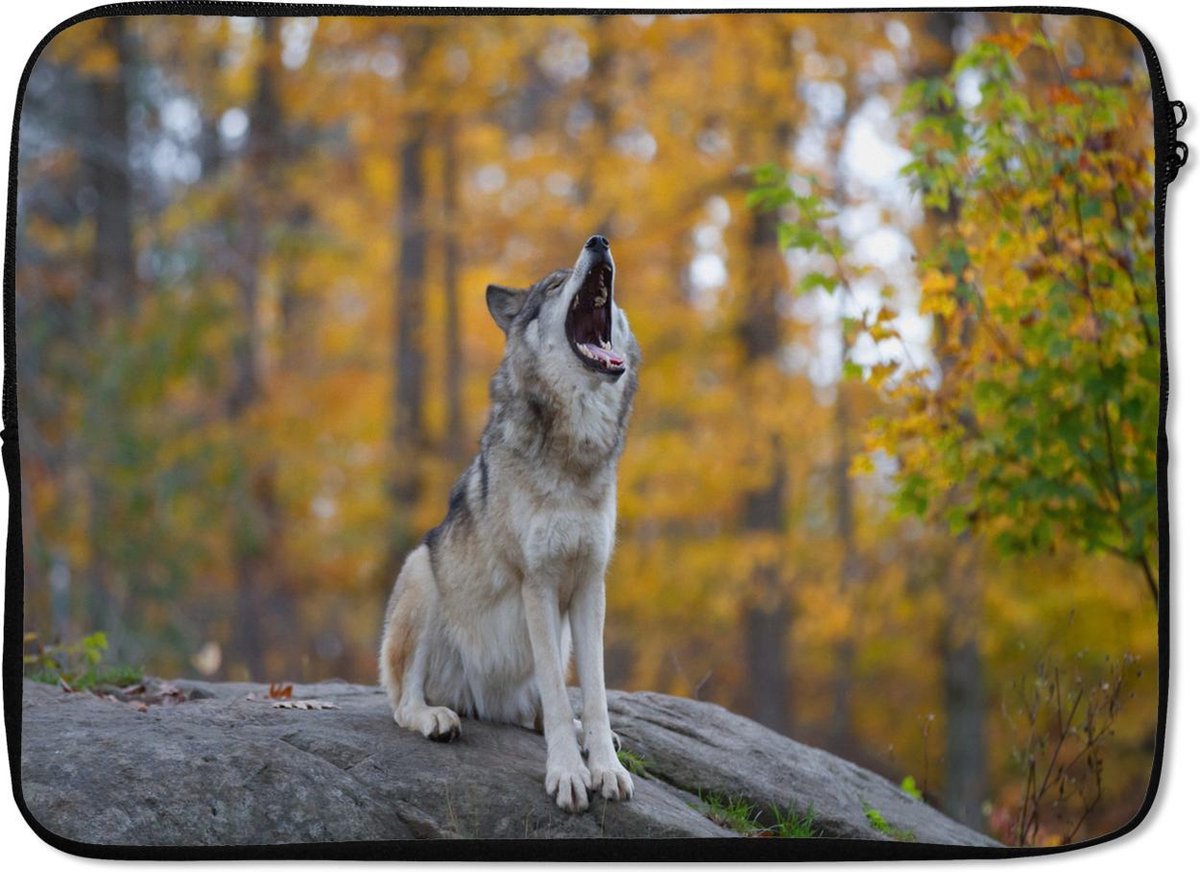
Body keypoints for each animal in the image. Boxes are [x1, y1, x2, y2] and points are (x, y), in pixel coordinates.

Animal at [379, 235, 640, 813]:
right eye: (554, 284)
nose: (599, 241)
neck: (574, 451)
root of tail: (487, 703)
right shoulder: (536, 582)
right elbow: (563, 701)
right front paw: (568, 774)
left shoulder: (590, 584)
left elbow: (594, 694)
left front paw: (604, 769)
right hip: (421, 572)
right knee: (403, 702)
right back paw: (437, 718)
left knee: (543, 710)